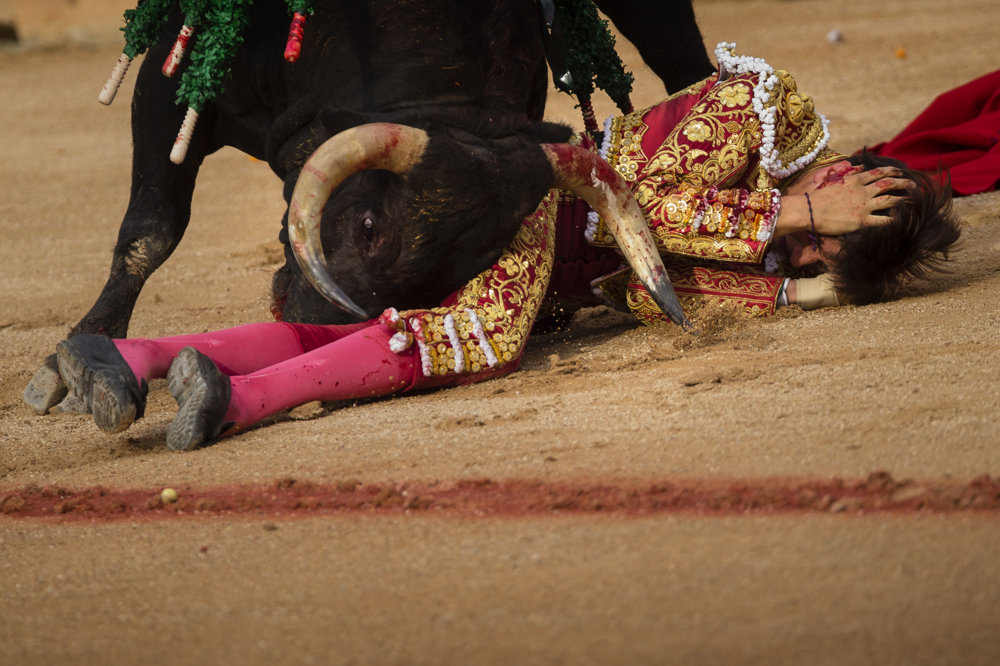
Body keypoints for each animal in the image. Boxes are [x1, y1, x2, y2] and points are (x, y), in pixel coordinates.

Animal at [23, 0, 712, 410]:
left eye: (468, 264)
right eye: (369, 223)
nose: (318, 329)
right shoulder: (174, 78)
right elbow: (152, 228)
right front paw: (82, 347)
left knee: (682, 54)